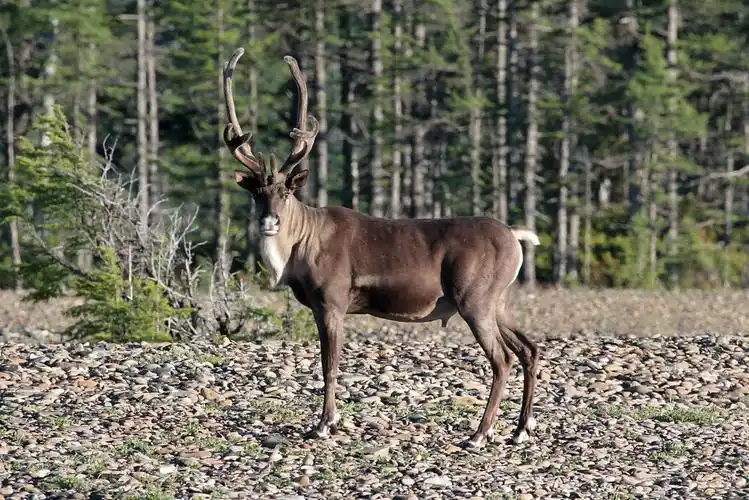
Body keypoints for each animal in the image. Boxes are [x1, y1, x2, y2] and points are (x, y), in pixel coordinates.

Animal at [222, 47, 541, 448]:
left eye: (286, 192)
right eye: (257, 193)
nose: (270, 221)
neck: (299, 248)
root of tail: (515, 236)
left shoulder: (332, 301)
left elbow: (329, 365)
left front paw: (324, 424)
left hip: (475, 299)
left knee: (502, 359)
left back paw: (479, 434)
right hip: (498, 300)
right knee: (528, 349)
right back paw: (520, 429)